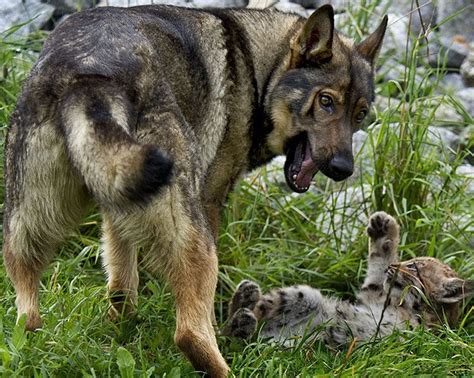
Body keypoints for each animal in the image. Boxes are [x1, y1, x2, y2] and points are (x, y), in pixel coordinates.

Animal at [3, 3, 386, 378]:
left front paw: (119, 330)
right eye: (326, 101)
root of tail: (91, 75)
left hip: (26, 228)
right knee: (190, 333)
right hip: (194, 240)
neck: (257, 68)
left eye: (360, 114)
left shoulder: (118, 212)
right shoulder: (210, 203)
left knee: (27, 313)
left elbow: (121, 288)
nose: (343, 169)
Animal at [224, 213, 472, 346]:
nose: (393, 267)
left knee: (236, 343)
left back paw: (242, 323)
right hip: (305, 296)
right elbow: (377, 268)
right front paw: (384, 230)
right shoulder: (372, 295)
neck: (407, 307)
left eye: (413, 266)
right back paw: (244, 301)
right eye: (409, 260)